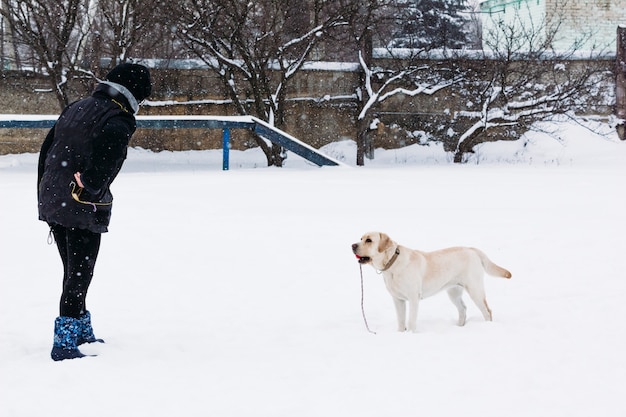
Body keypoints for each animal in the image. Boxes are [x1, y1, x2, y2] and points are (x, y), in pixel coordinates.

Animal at [348, 231, 510, 332]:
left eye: (369, 240)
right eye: (361, 238)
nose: (353, 245)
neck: (392, 264)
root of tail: (472, 249)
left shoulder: (413, 298)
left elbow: (411, 321)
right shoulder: (397, 299)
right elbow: (401, 321)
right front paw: (400, 334)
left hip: (475, 289)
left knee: (487, 311)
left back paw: (487, 326)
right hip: (453, 292)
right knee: (463, 309)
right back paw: (459, 327)